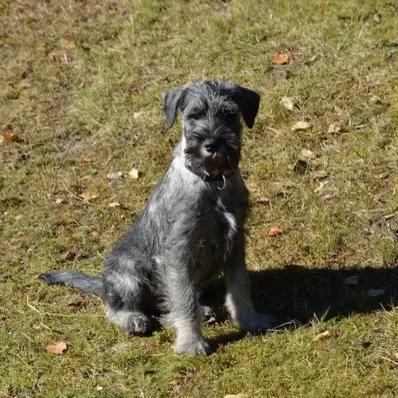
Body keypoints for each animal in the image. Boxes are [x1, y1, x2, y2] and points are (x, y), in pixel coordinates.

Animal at [42, 80, 276, 354]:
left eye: (229, 115)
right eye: (193, 116)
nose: (211, 144)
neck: (212, 181)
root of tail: (104, 283)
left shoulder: (235, 243)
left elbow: (239, 287)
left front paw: (251, 320)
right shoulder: (179, 253)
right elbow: (184, 301)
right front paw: (191, 344)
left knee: (166, 307)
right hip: (130, 275)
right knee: (117, 306)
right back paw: (134, 319)